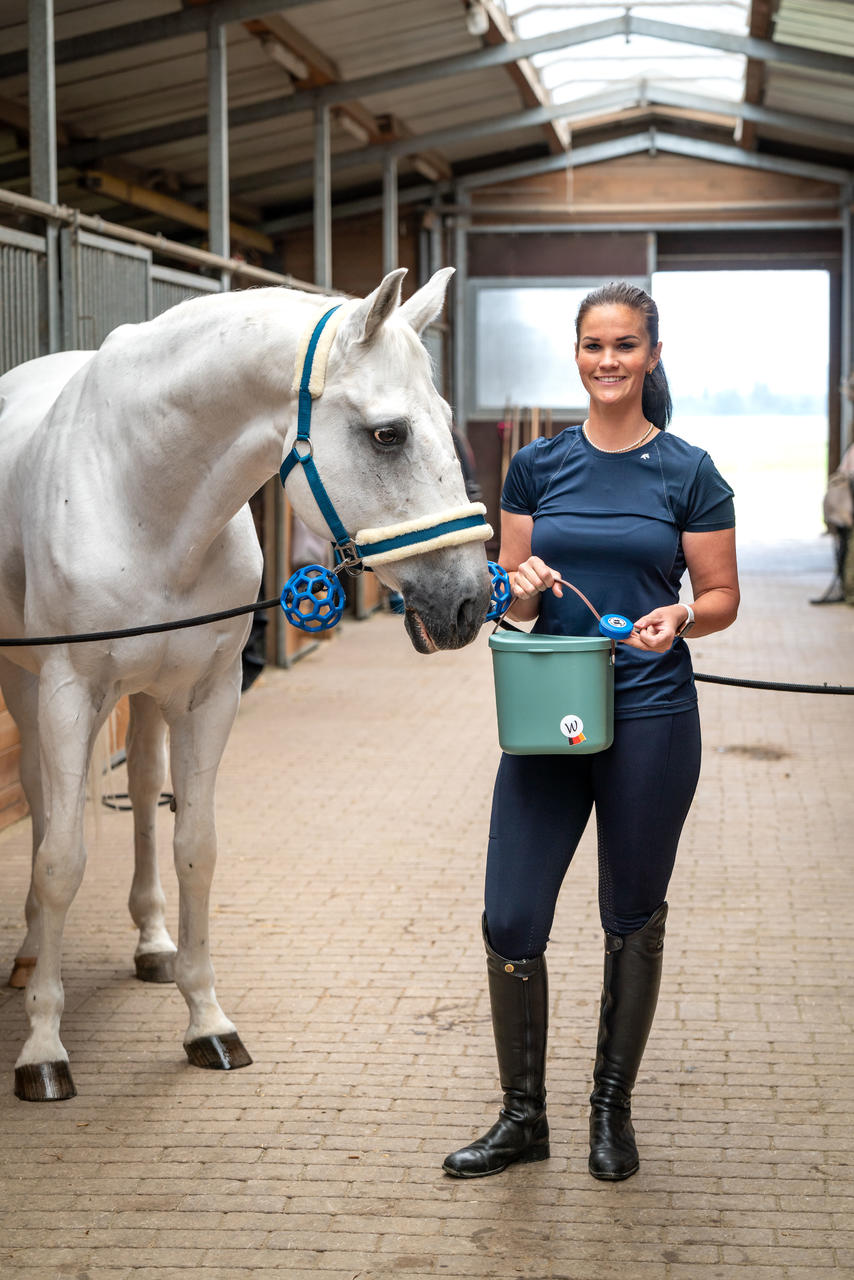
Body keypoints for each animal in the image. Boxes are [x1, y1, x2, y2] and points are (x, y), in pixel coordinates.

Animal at [0, 267, 491, 1100]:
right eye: (388, 434)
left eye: (449, 421)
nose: (470, 601)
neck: (141, 498)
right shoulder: (69, 690)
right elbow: (61, 859)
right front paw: (41, 1048)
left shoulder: (207, 693)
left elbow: (195, 847)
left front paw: (207, 1022)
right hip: (27, 683)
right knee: (40, 801)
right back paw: (33, 953)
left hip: (148, 696)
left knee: (142, 795)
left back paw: (152, 943)